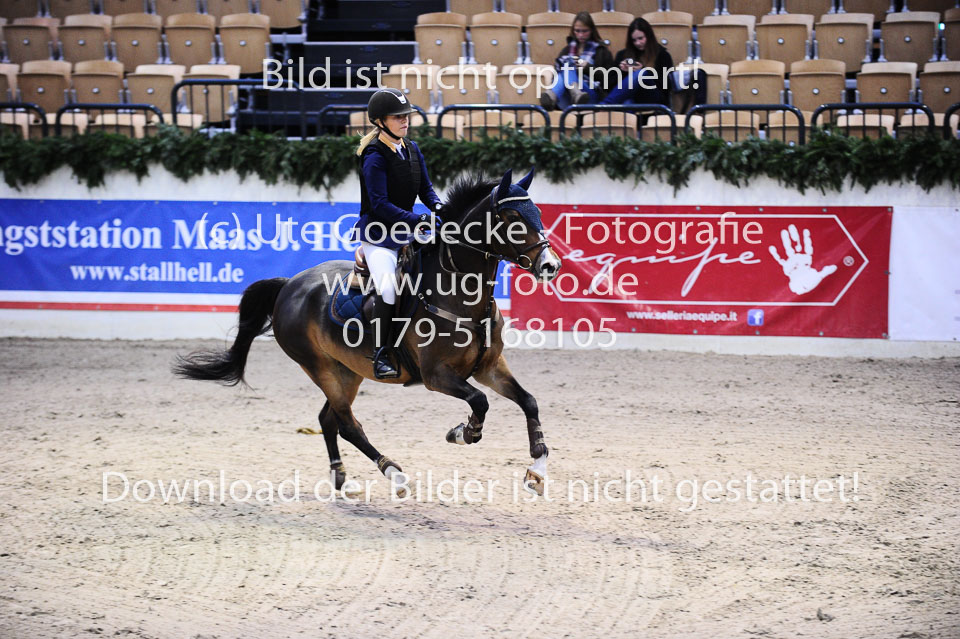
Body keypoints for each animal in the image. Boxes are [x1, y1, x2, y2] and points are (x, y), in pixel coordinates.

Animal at [173, 168, 563, 497]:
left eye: (538, 214)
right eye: (512, 220)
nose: (550, 266)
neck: (459, 293)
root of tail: (289, 285)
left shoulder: (488, 367)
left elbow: (529, 400)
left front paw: (537, 470)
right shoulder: (437, 375)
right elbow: (480, 402)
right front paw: (463, 433)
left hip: (348, 370)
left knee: (328, 419)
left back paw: (341, 477)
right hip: (320, 367)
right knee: (347, 424)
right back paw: (395, 473)